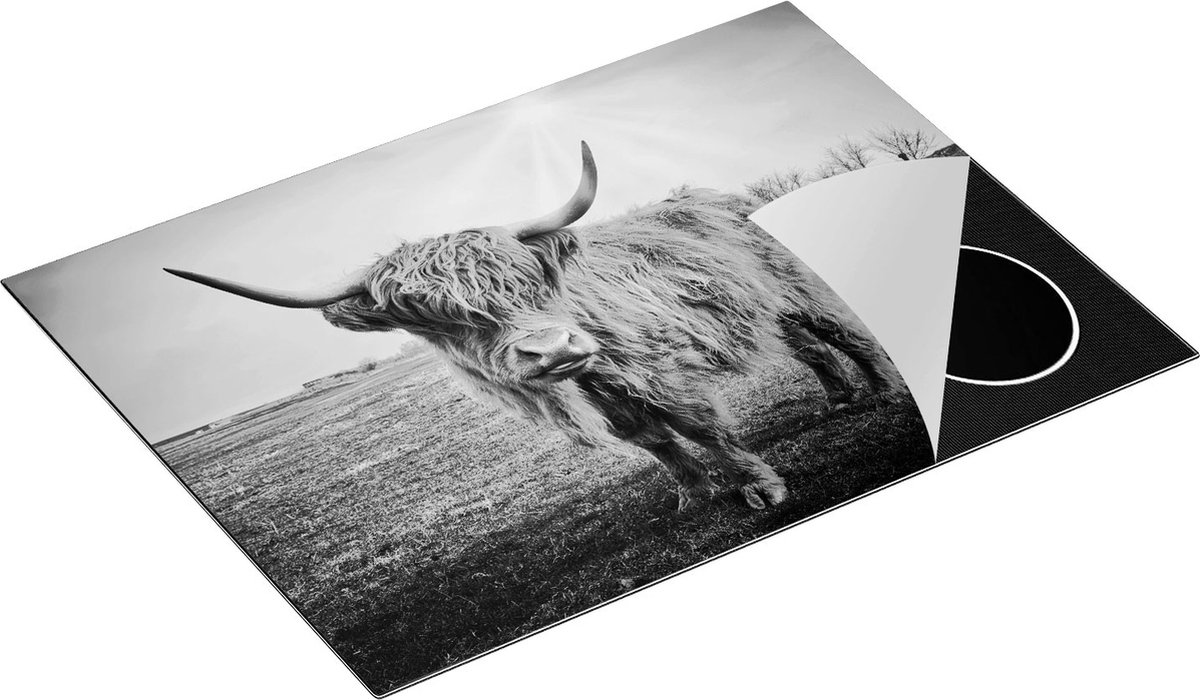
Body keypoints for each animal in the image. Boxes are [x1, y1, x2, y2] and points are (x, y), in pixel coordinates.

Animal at [165, 142, 906, 511]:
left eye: (526, 280)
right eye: (436, 319)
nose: (552, 351)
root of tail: (715, 198)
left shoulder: (654, 371)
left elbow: (699, 426)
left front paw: (759, 487)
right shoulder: (612, 399)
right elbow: (650, 442)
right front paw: (693, 496)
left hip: (796, 285)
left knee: (843, 331)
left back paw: (886, 391)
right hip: (762, 306)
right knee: (806, 347)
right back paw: (840, 399)